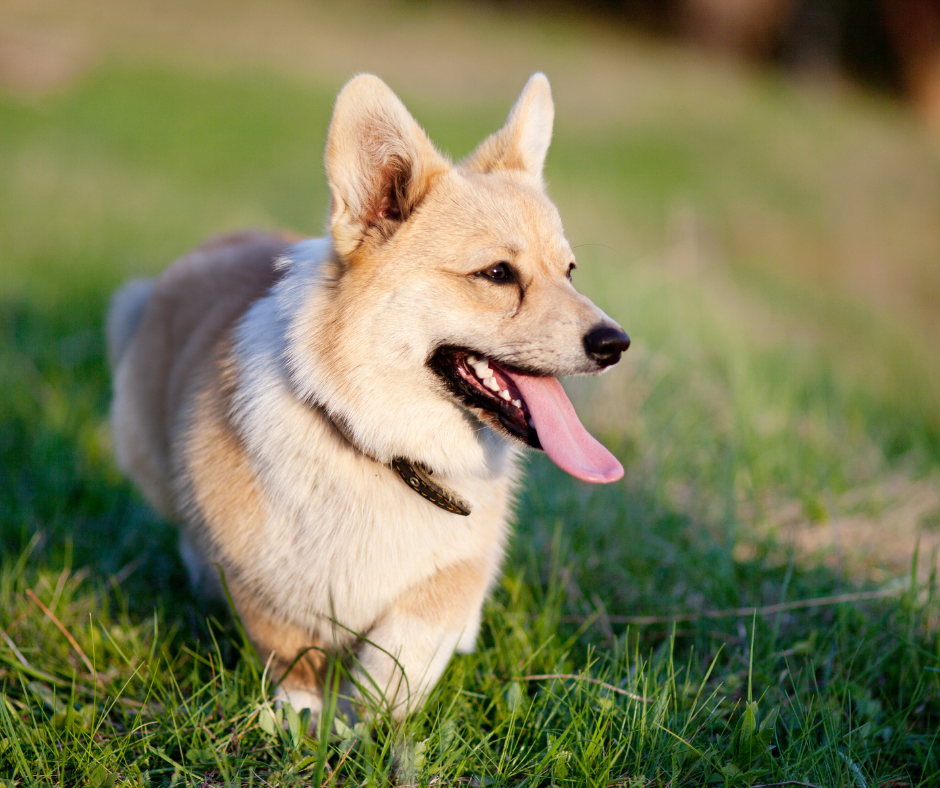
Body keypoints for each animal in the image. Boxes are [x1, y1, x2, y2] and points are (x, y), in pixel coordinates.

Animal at [106, 72, 628, 720]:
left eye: (570, 271)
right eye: (498, 274)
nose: (616, 343)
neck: (385, 452)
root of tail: (224, 238)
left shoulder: (454, 573)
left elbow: (408, 645)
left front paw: (371, 710)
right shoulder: (269, 591)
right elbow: (295, 656)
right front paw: (307, 716)